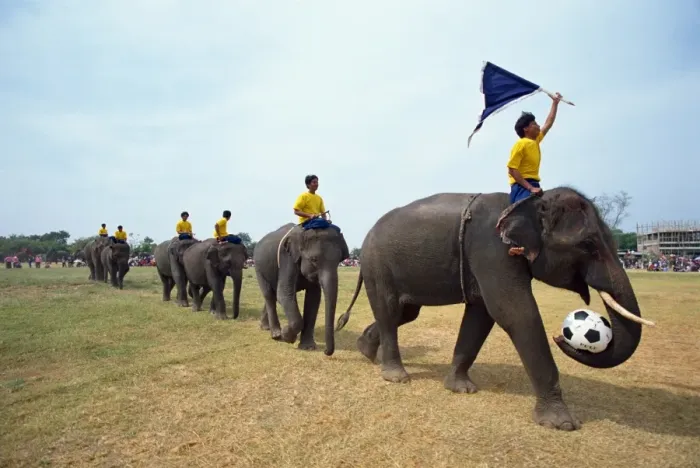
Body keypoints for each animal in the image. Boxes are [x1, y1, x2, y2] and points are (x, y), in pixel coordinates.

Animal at [254, 223, 350, 355]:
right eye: (314, 259)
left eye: (339, 260)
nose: (326, 351)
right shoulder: (287, 258)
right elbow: (284, 293)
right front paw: (287, 335)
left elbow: (314, 298)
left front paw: (307, 347)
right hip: (258, 268)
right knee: (269, 294)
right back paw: (276, 334)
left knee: (274, 295)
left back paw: (266, 328)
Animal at [335, 187, 654, 431]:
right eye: (588, 244)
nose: (562, 336)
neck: (527, 201)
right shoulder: (493, 251)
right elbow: (515, 312)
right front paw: (562, 424)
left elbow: (481, 315)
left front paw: (461, 388)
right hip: (378, 264)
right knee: (390, 310)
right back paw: (396, 377)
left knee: (406, 312)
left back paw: (366, 349)